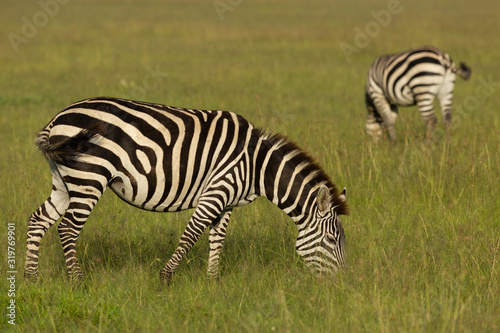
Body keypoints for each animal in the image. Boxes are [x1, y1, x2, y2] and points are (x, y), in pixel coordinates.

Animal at [25, 96, 350, 282]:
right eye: (333, 240)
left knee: (38, 220)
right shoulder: (217, 189)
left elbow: (217, 239)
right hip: (89, 176)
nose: (341, 286)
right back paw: (77, 281)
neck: (257, 165)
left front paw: (212, 282)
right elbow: (191, 235)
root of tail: (57, 119)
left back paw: (31, 277)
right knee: (67, 228)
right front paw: (165, 278)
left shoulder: (227, 201)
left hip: (65, 181)